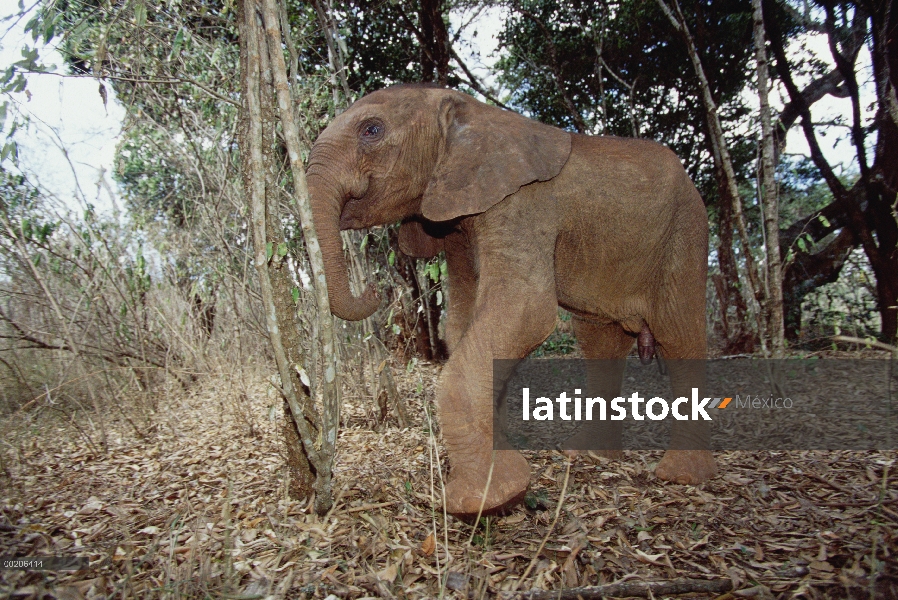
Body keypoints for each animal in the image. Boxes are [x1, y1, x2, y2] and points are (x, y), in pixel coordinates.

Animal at [306, 83, 712, 516]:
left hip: (686, 230)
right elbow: (462, 324)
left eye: (372, 130)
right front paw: (501, 479)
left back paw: (681, 476)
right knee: (600, 341)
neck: (469, 111)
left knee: (678, 335)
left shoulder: (521, 204)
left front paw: (484, 501)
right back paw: (585, 456)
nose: (375, 290)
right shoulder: (458, 222)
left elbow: (526, 311)